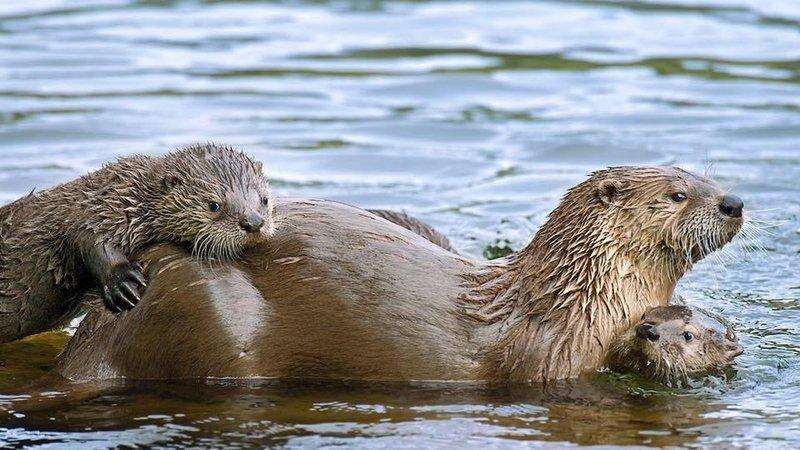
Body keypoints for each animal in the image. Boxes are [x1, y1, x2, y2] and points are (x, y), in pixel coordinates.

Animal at [0, 144, 274, 344]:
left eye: (264, 200)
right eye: (214, 205)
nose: (253, 223)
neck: (132, 195)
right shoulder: (94, 211)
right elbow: (86, 239)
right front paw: (122, 282)